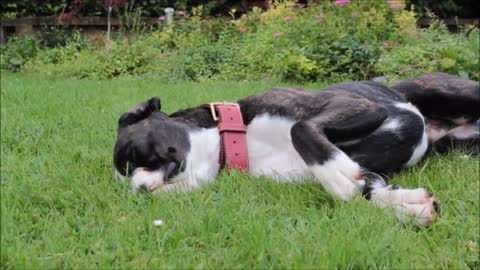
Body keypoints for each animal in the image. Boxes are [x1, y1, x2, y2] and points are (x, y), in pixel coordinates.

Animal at [114, 72, 478, 226]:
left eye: (131, 157)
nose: (138, 190)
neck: (242, 140)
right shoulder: (365, 170)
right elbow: (367, 189)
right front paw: (409, 206)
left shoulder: (355, 106)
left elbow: (301, 129)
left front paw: (337, 175)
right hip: (452, 142)